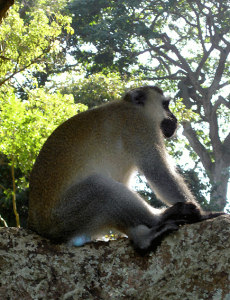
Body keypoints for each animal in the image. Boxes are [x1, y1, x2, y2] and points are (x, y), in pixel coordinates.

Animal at [27, 85, 226, 250]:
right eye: (165, 105)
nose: (174, 118)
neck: (131, 107)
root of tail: (36, 227)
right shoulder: (138, 125)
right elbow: (158, 171)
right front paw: (202, 214)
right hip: (62, 219)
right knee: (101, 188)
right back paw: (152, 227)